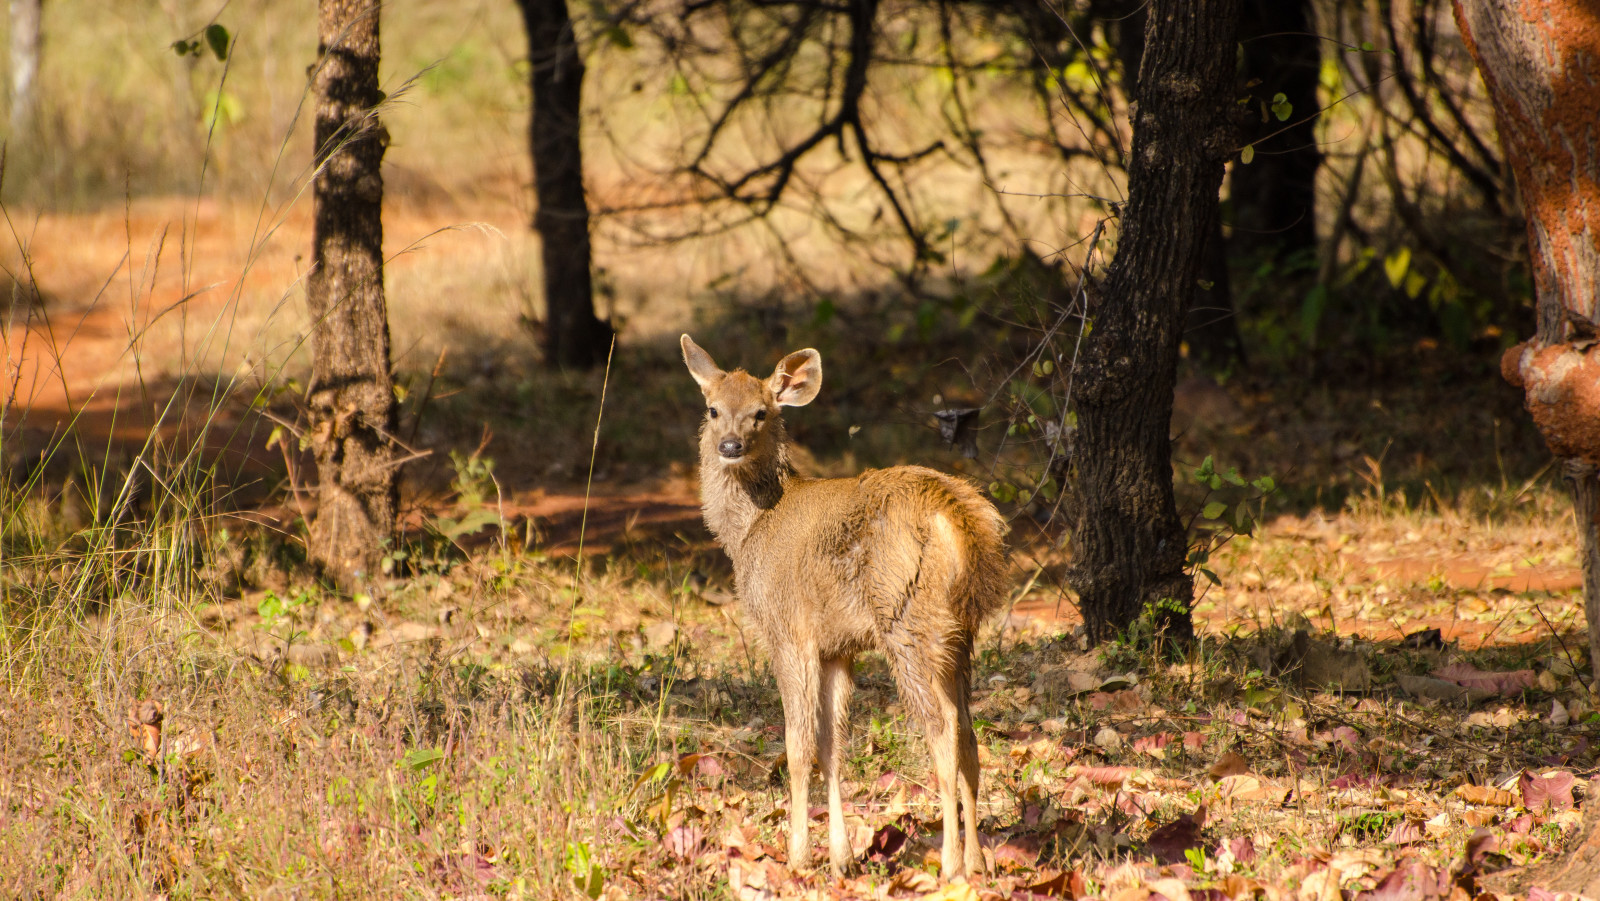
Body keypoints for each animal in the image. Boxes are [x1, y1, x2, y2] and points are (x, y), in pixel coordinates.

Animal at [678, 334, 1004, 876]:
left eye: (761, 412)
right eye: (712, 408)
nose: (730, 446)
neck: (750, 531)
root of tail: (959, 519)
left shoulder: (789, 630)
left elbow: (798, 744)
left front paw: (796, 857)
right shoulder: (837, 647)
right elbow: (833, 745)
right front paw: (840, 857)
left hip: (906, 621)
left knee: (943, 731)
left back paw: (951, 864)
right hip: (961, 631)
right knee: (970, 733)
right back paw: (979, 863)